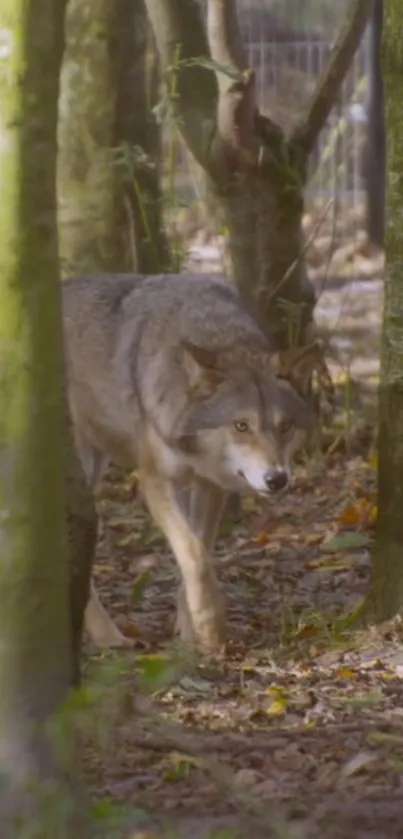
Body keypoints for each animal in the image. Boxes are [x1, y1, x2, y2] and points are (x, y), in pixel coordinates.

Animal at [64, 272, 328, 652]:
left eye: (285, 426)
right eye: (241, 426)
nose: (277, 479)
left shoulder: (210, 486)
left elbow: (199, 549)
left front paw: (190, 629)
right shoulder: (155, 482)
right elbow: (194, 554)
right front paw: (210, 629)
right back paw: (110, 637)